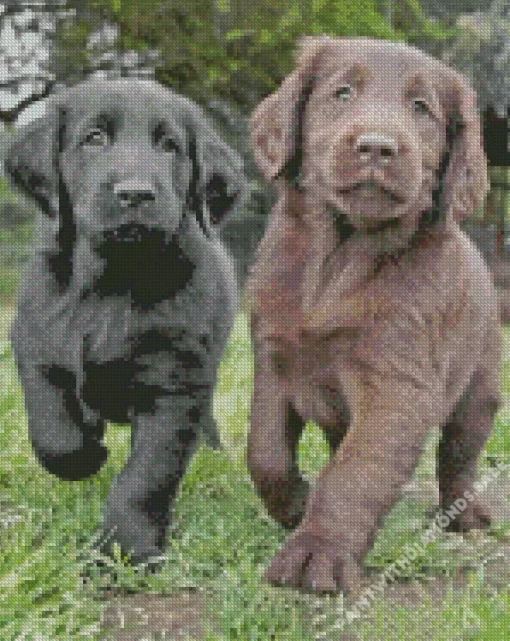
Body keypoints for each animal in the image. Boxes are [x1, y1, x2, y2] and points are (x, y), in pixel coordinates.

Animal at [5, 79, 245, 560]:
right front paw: (86, 454)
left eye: (170, 146)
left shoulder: (175, 383)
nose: (136, 193)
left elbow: (146, 477)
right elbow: (53, 433)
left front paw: (126, 549)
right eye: (94, 138)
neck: (113, 282)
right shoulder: (36, 344)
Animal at [246, 37, 498, 592]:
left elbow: (355, 472)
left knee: (458, 456)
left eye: (422, 109)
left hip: (480, 388)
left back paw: (463, 515)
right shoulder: (273, 359)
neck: (341, 256)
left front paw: (318, 553)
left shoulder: (396, 381)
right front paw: (294, 504)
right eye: (342, 92)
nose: (378, 146)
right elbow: (265, 451)